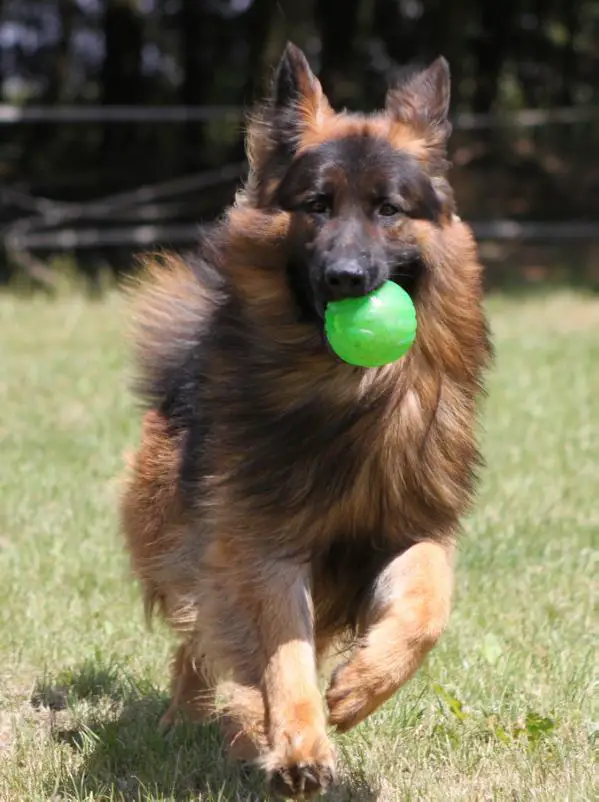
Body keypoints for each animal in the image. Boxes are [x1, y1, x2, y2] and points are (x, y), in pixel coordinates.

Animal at [122, 42, 492, 792]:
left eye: (388, 209)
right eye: (317, 206)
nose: (347, 278)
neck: (347, 397)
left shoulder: (412, 527)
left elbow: (427, 610)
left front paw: (360, 686)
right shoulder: (262, 543)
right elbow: (280, 656)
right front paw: (299, 746)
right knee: (205, 642)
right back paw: (205, 723)